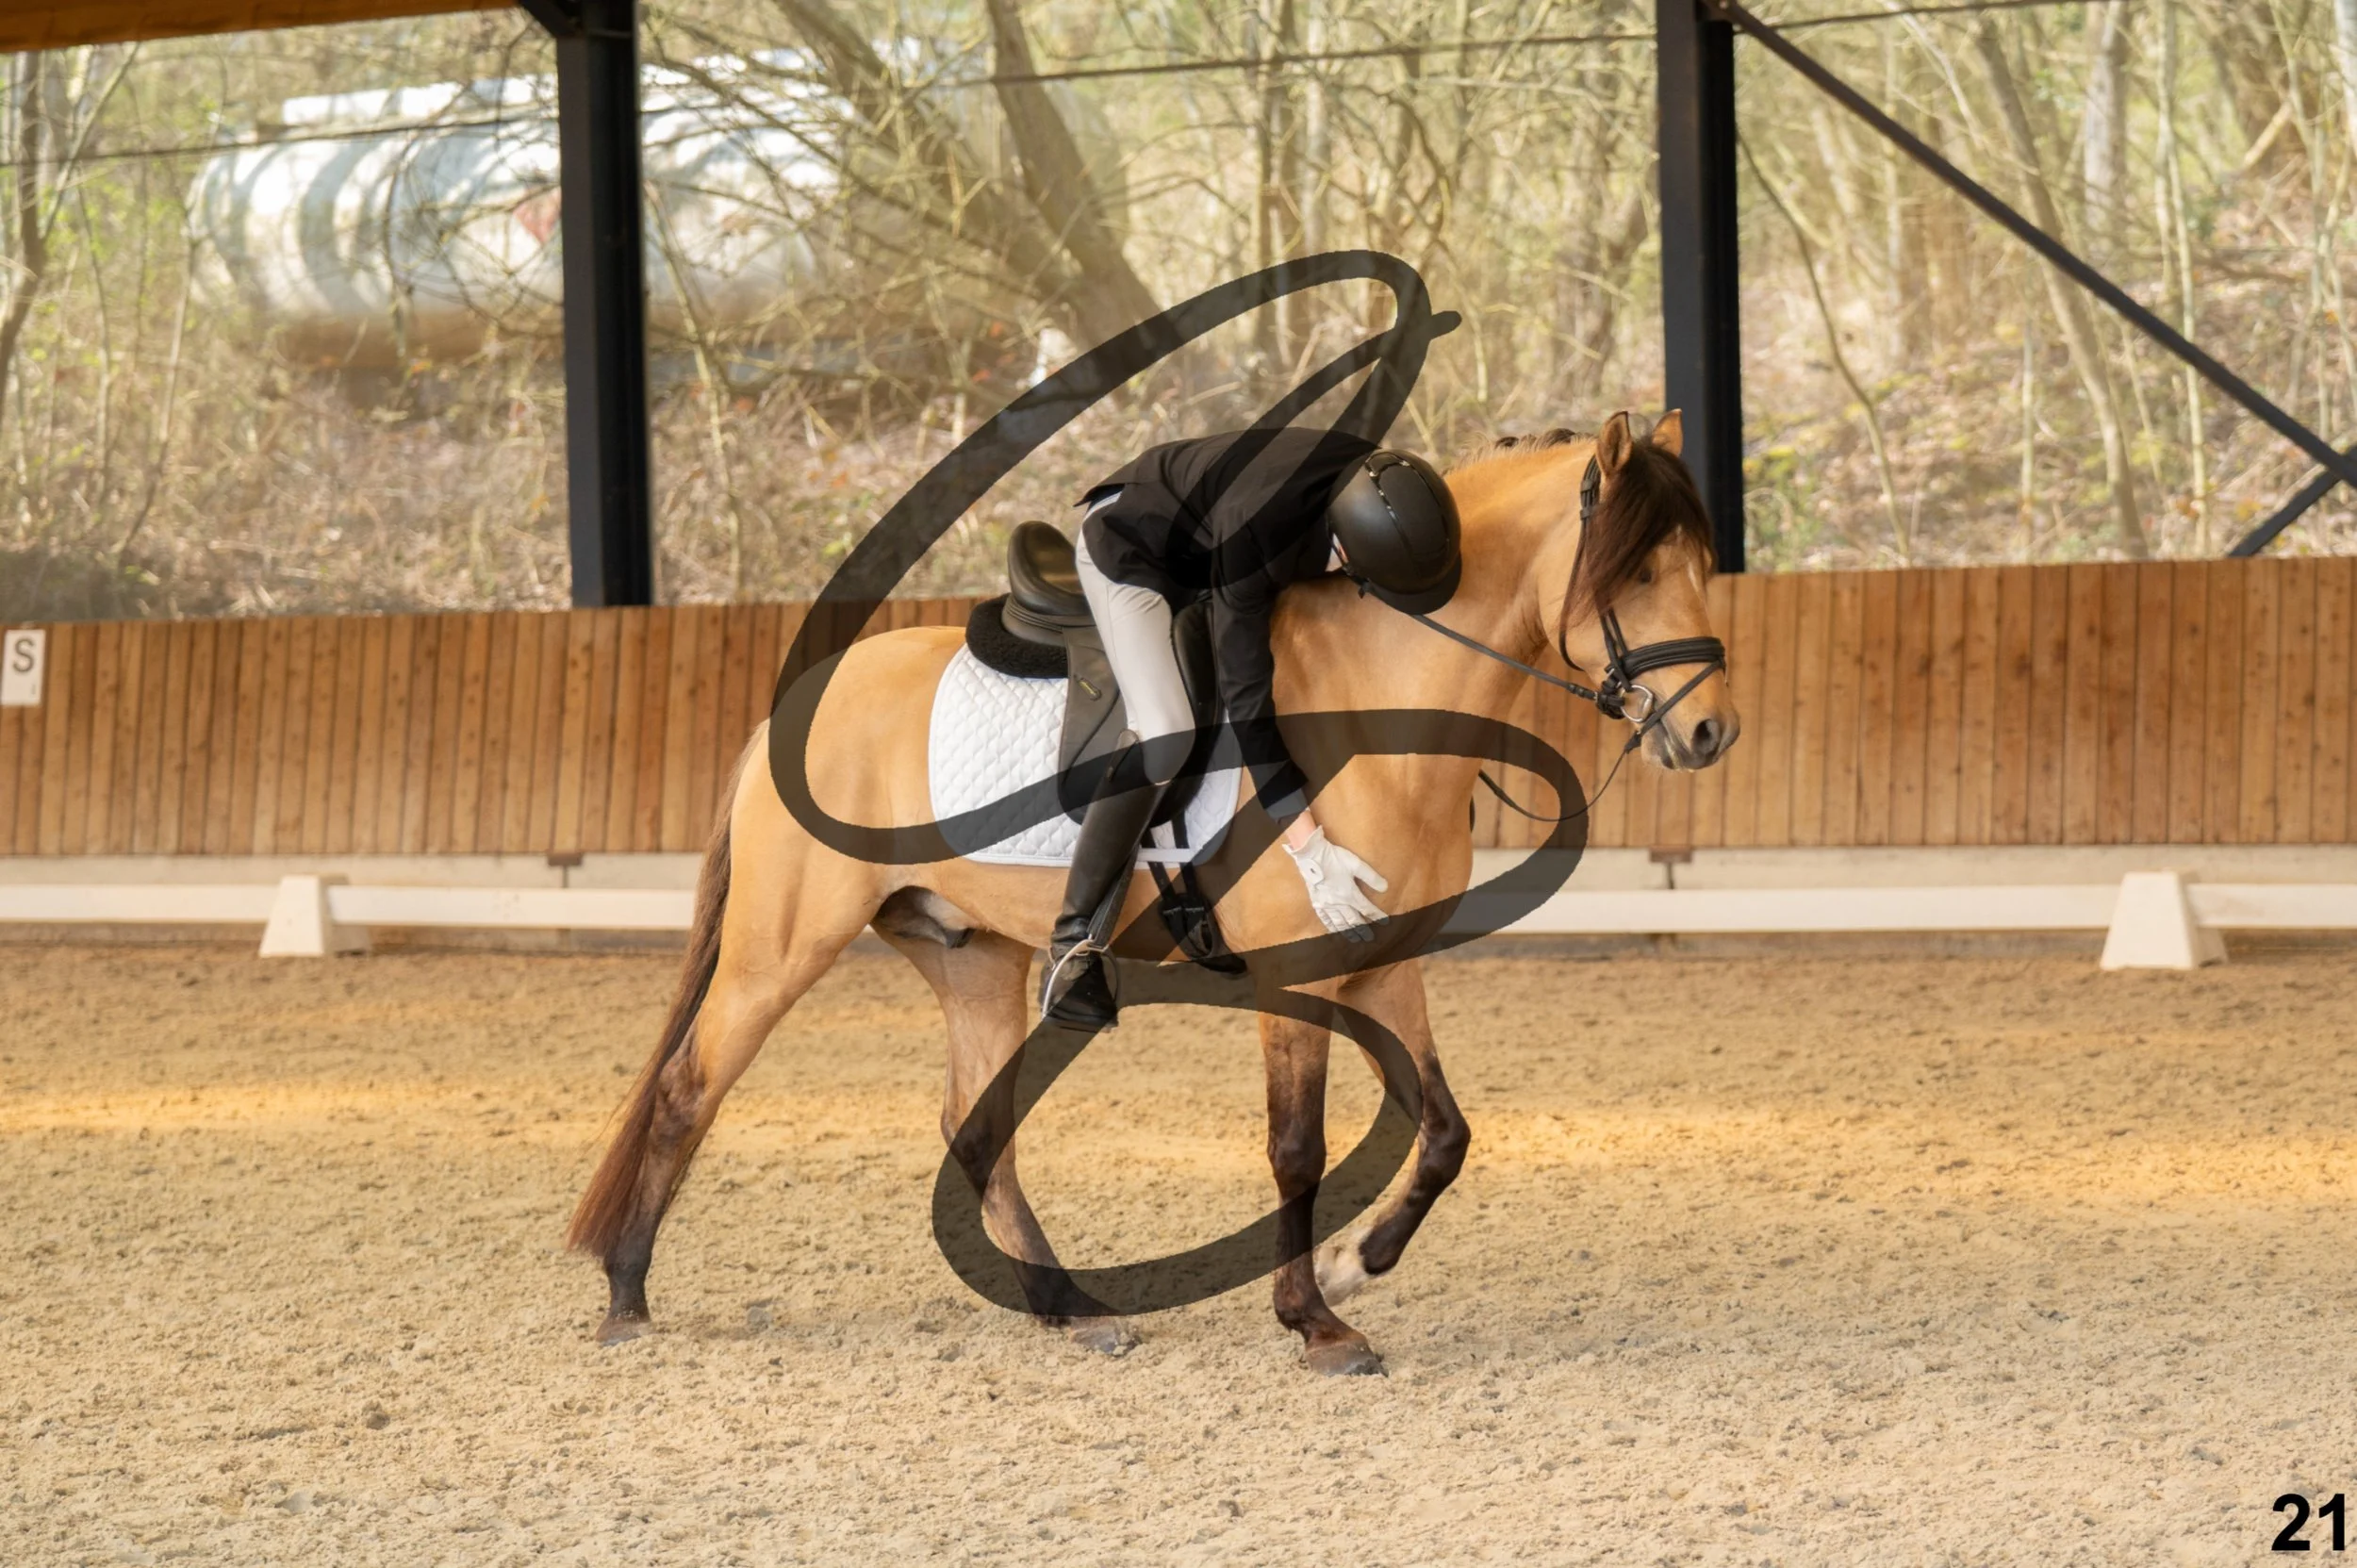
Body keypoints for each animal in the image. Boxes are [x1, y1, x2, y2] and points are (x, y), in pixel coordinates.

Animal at [565, 409, 1741, 1375]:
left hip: (968, 951)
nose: (1709, 732)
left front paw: (1356, 1265)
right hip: (781, 948)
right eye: (1640, 571)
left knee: (974, 1130)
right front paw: (1316, 1323)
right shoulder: (1299, 971)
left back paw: (1070, 1311)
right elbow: (1298, 1149)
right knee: (688, 1088)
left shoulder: (1381, 960)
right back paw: (627, 1297)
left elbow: (1445, 1131)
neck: (1379, 695)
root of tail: (790, 706)